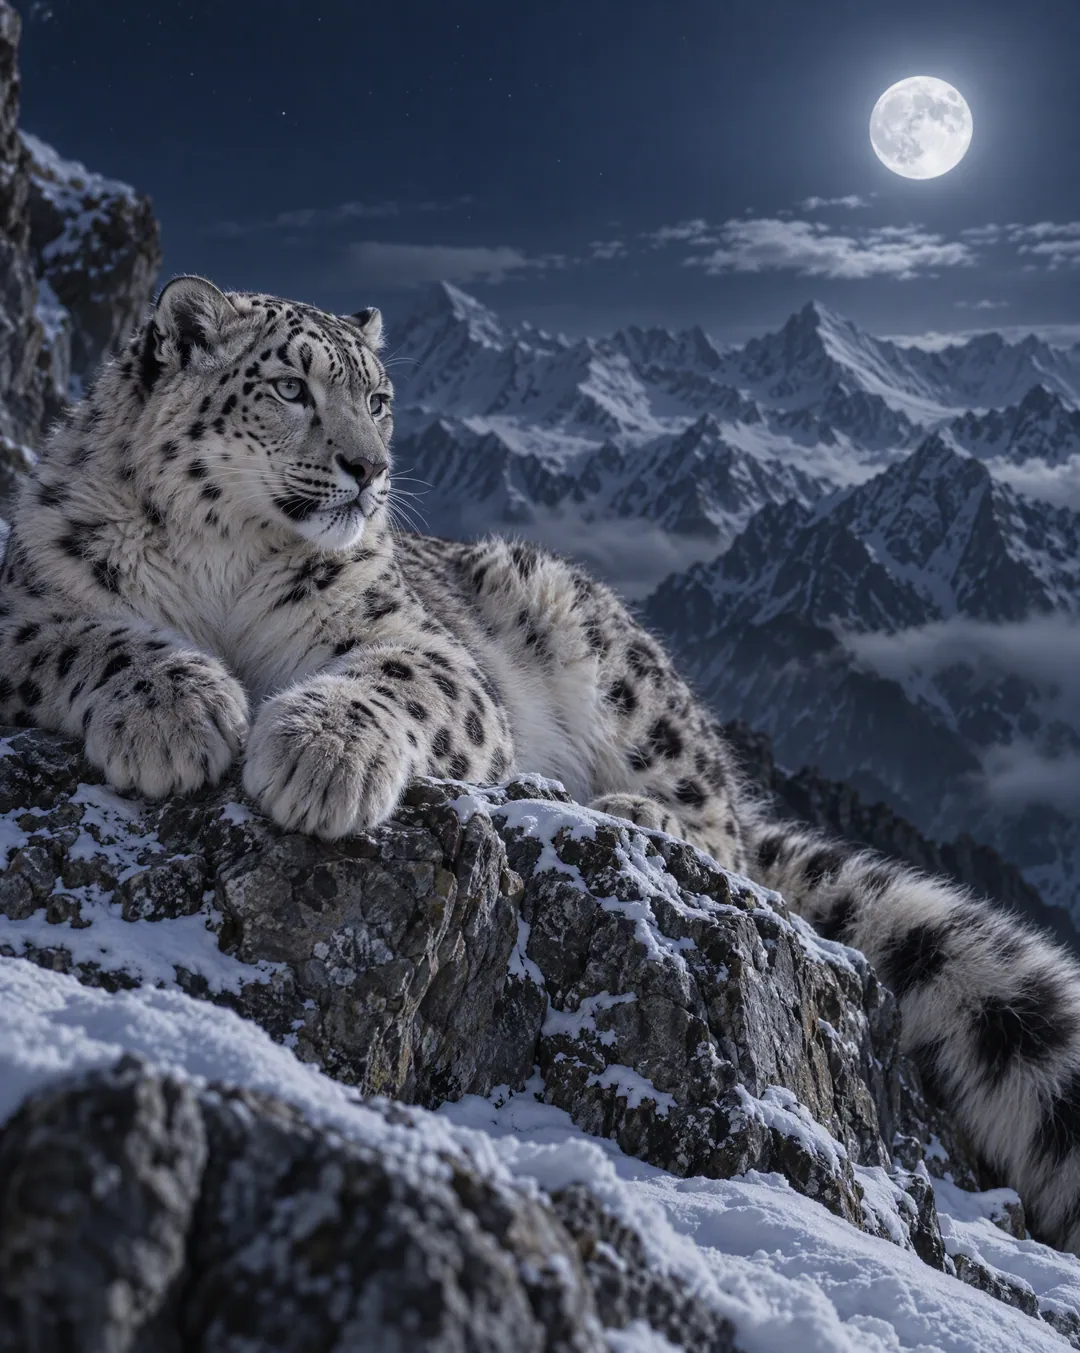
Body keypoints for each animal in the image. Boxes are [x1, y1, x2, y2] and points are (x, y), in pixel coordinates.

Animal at [4, 274, 1080, 1256]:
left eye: (378, 397)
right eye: (290, 387)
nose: (368, 468)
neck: (223, 564)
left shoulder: (428, 650)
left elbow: (389, 679)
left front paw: (317, 756)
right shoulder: (28, 605)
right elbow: (88, 637)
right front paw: (177, 713)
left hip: (614, 669)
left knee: (728, 836)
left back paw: (631, 814)